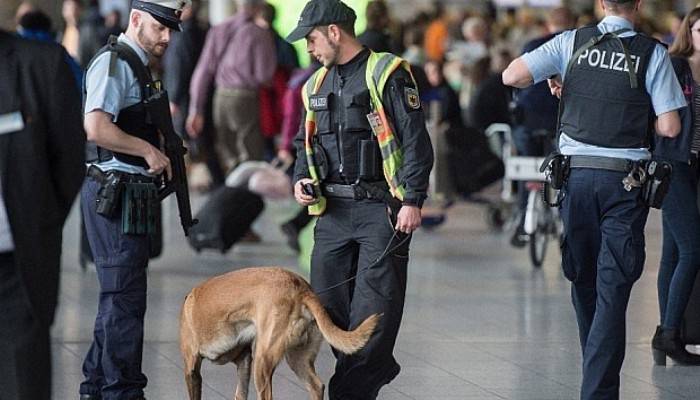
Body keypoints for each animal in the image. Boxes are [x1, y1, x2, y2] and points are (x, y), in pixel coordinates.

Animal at [178, 266, 380, 400]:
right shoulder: (244, 362)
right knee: (317, 386)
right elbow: (240, 394)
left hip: (263, 361)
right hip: (296, 358)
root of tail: (301, 288)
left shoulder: (191, 368)